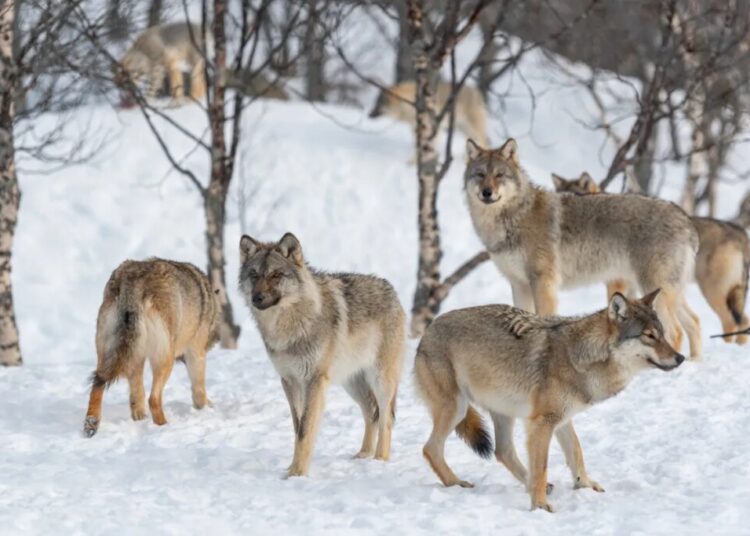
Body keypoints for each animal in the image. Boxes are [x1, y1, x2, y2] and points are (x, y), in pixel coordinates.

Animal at [83, 258, 219, 437]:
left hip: (113, 354)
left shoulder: (139, 357)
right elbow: (199, 389)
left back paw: (91, 425)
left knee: (99, 385)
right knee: (153, 399)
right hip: (165, 359)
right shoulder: (196, 353)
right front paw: (206, 408)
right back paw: (164, 427)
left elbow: (136, 396)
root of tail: (134, 283)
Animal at [239, 233, 405, 477]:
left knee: (385, 419)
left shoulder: (314, 380)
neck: (289, 326)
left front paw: (297, 474)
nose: (257, 298)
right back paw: (362, 456)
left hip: (380, 380)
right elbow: (297, 427)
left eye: (276, 274)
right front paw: (292, 468)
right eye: (253, 274)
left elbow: (305, 429)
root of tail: (391, 289)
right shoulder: (289, 381)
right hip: (352, 383)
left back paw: (379, 461)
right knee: (371, 413)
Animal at [414, 290, 684, 512]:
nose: (681, 358)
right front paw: (540, 507)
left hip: (502, 412)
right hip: (457, 409)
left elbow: (576, 452)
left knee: (502, 451)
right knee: (430, 448)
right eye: (649, 336)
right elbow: (543, 467)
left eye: (663, 335)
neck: (582, 358)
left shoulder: (561, 419)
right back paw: (456, 483)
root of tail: (427, 331)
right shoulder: (542, 423)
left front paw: (584, 485)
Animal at [464, 138, 702, 358]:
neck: (514, 216)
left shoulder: (543, 283)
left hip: (655, 289)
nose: (487, 192)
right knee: (694, 322)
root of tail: (685, 218)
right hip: (668, 292)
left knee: (676, 331)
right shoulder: (519, 284)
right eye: (480, 174)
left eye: (499, 175)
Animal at [552, 172, 750, 345]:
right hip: (679, 293)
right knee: (705, 321)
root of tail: (739, 232)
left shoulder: (617, 283)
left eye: (577, 195)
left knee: (728, 322)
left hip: (707, 293)